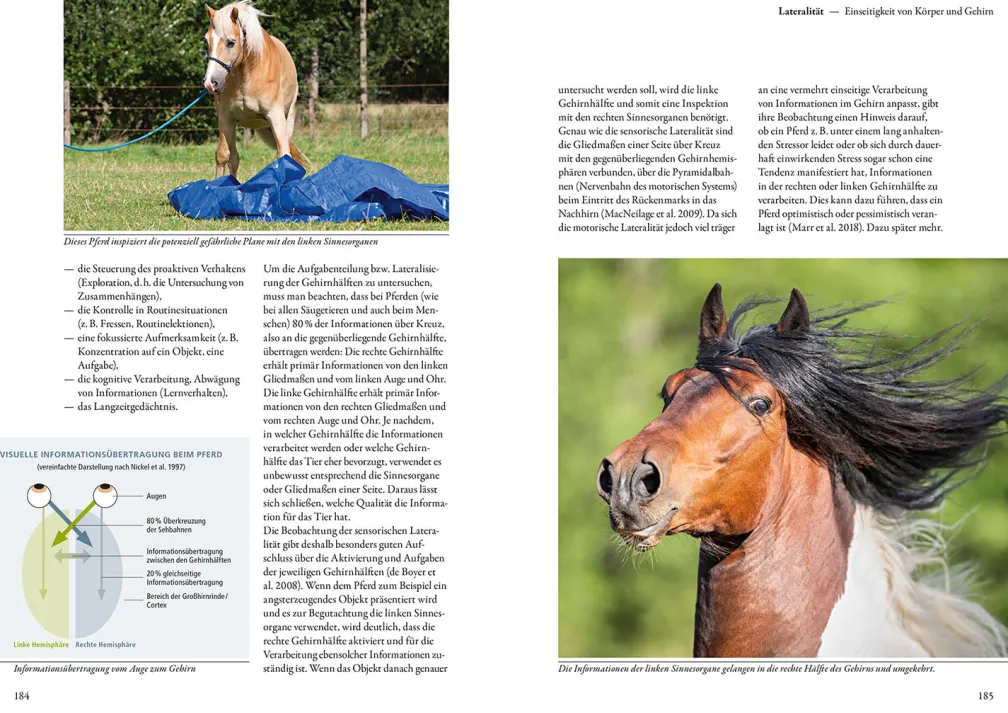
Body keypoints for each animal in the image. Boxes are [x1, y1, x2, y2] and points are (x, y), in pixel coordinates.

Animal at [202, 2, 309, 178]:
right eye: (206, 41)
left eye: (231, 42)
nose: (211, 83)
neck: (247, 76)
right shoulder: (226, 118)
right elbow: (223, 156)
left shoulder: (275, 115)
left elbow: (283, 154)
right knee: (234, 158)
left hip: (286, 121)